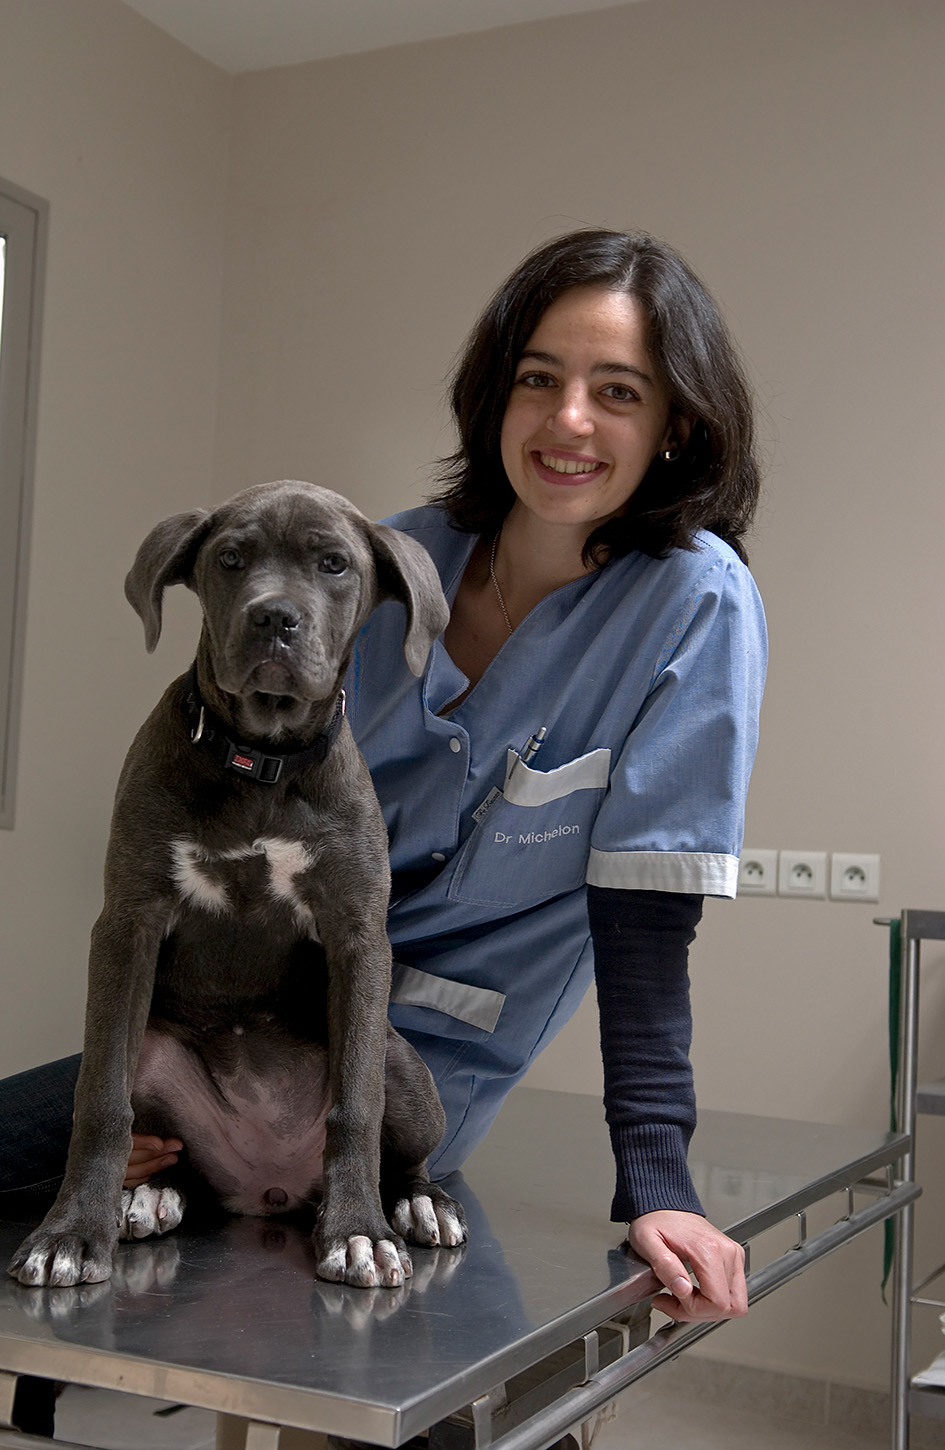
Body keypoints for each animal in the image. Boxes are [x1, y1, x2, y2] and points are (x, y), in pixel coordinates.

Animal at [8, 480, 465, 1290]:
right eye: (230, 559)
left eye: (333, 564)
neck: (261, 761)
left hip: (399, 1057)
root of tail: (270, 1183)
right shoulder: (128, 923)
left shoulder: (357, 936)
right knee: (161, 1137)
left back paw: (416, 1203)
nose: (274, 618)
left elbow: (356, 1105)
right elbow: (100, 1100)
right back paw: (151, 1196)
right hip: (156, 1051)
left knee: (399, 1143)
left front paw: (357, 1232)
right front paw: (69, 1234)